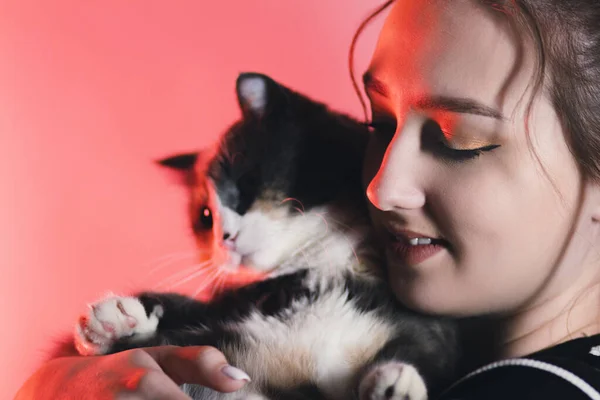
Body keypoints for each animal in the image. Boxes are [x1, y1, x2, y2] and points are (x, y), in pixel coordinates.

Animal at [75, 72, 460, 400]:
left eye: (246, 184)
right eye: (205, 217)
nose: (225, 238)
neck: (317, 273)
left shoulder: (422, 322)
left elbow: (422, 345)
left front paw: (396, 381)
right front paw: (117, 322)